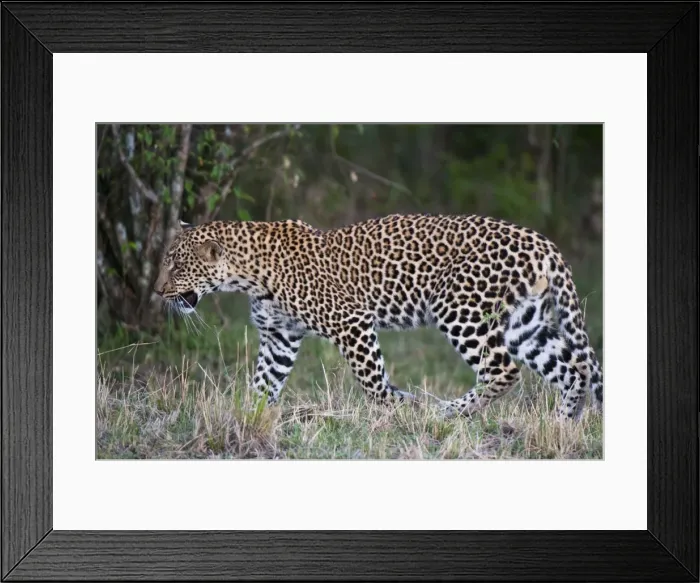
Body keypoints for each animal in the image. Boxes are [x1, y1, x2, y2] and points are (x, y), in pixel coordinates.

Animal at [154, 213, 603, 420]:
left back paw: (446, 411)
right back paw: (562, 424)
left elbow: (372, 383)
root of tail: (540, 240)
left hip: (460, 308)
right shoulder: (280, 337)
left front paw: (400, 407)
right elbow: (262, 385)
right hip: (524, 323)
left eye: (176, 266)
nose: (157, 291)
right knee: (572, 369)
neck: (247, 274)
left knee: (504, 369)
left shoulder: (351, 322)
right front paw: (247, 417)